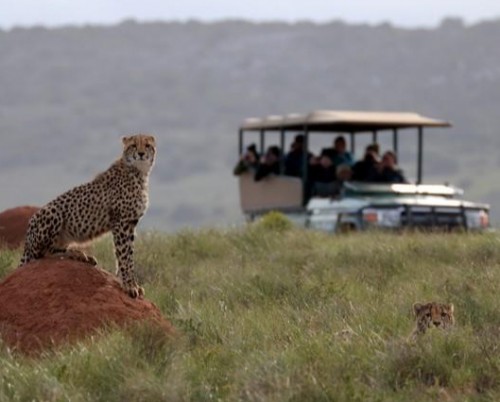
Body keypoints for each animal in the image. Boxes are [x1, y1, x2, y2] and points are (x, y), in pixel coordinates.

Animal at [20, 133, 156, 296]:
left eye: (147, 145)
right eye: (133, 145)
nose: (141, 154)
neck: (139, 172)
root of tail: (27, 240)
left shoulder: (130, 223)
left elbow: (127, 255)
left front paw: (127, 281)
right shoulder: (121, 222)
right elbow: (125, 256)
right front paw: (129, 285)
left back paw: (83, 256)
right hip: (53, 212)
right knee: (43, 254)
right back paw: (75, 253)